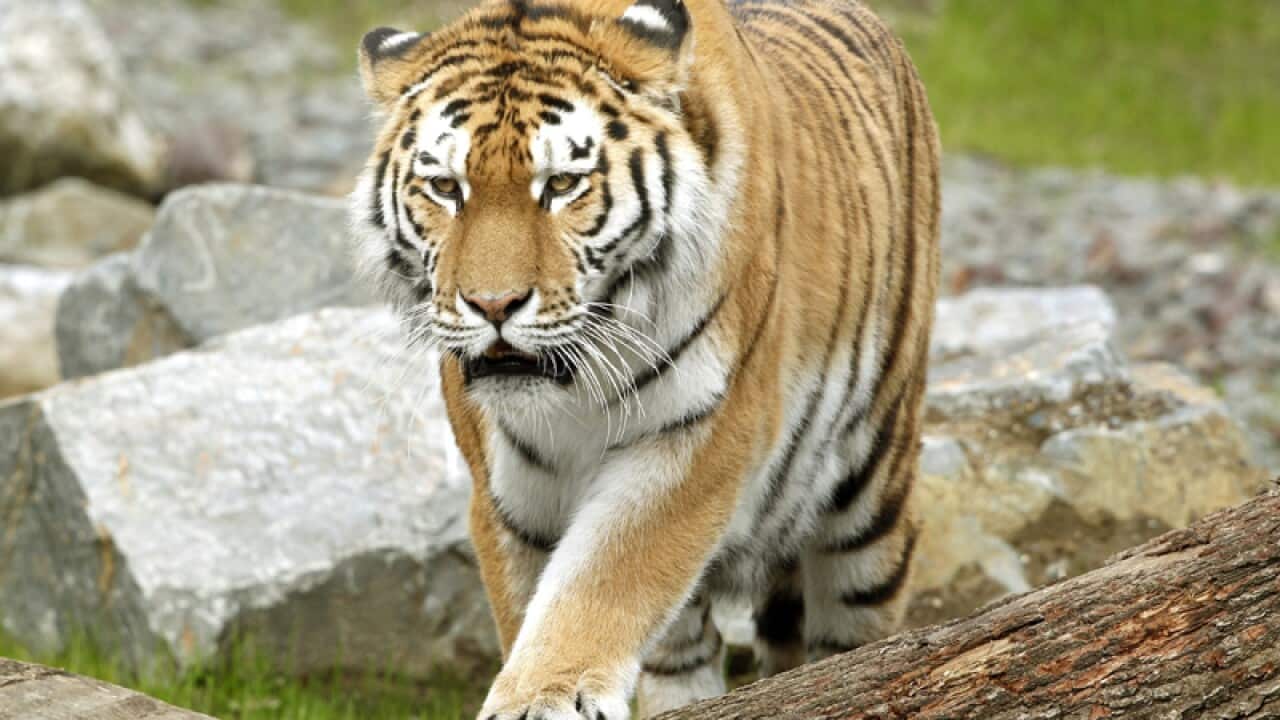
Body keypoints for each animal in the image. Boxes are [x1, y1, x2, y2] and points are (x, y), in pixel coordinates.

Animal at [350, 0, 939, 715]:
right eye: (444, 187)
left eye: (562, 185)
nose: (493, 304)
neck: (569, 395)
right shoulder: (507, 491)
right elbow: (535, 602)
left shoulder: (697, 439)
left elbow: (605, 577)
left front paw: (543, 695)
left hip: (872, 494)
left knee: (856, 629)